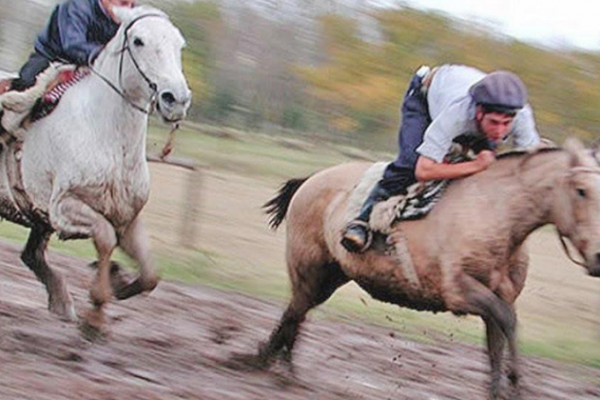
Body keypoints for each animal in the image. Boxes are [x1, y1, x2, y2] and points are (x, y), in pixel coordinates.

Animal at [258, 139, 600, 398]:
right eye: (581, 190)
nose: (597, 258)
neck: (495, 210)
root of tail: (311, 179)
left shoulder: (500, 296)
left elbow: (498, 338)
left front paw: (500, 389)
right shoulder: (459, 292)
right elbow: (506, 321)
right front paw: (515, 384)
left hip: (330, 276)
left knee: (298, 313)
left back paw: (278, 363)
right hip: (307, 270)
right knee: (295, 312)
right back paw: (267, 361)